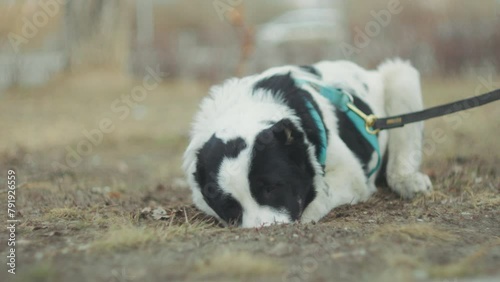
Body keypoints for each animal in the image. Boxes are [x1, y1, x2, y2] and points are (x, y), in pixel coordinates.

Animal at [182, 58, 432, 228]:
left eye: (271, 187)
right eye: (228, 204)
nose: (264, 229)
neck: (246, 109)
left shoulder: (349, 173)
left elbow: (323, 191)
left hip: (401, 78)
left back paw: (409, 181)